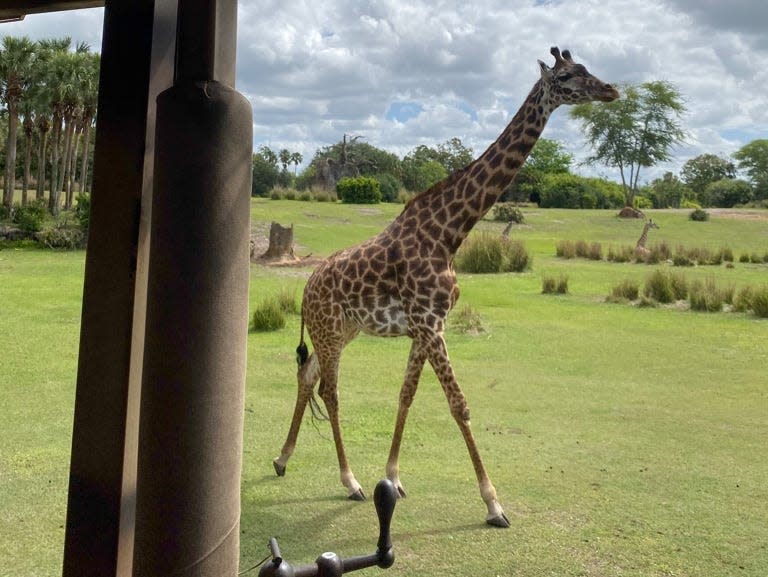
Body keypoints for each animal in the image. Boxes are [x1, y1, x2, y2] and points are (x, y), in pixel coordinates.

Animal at [272, 46, 620, 528]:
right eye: (567, 76)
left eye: (587, 68)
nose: (611, 89)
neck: (450, 233)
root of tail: (306, 287)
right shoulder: (431, 325)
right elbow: (460, 405)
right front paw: (493, 504)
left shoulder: (425, 327)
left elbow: (407, 396)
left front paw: (393, 477)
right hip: (328, 329)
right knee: (330, 390)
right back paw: (349, 481)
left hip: (343, 330)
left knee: (308, 375)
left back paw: (283, 459)